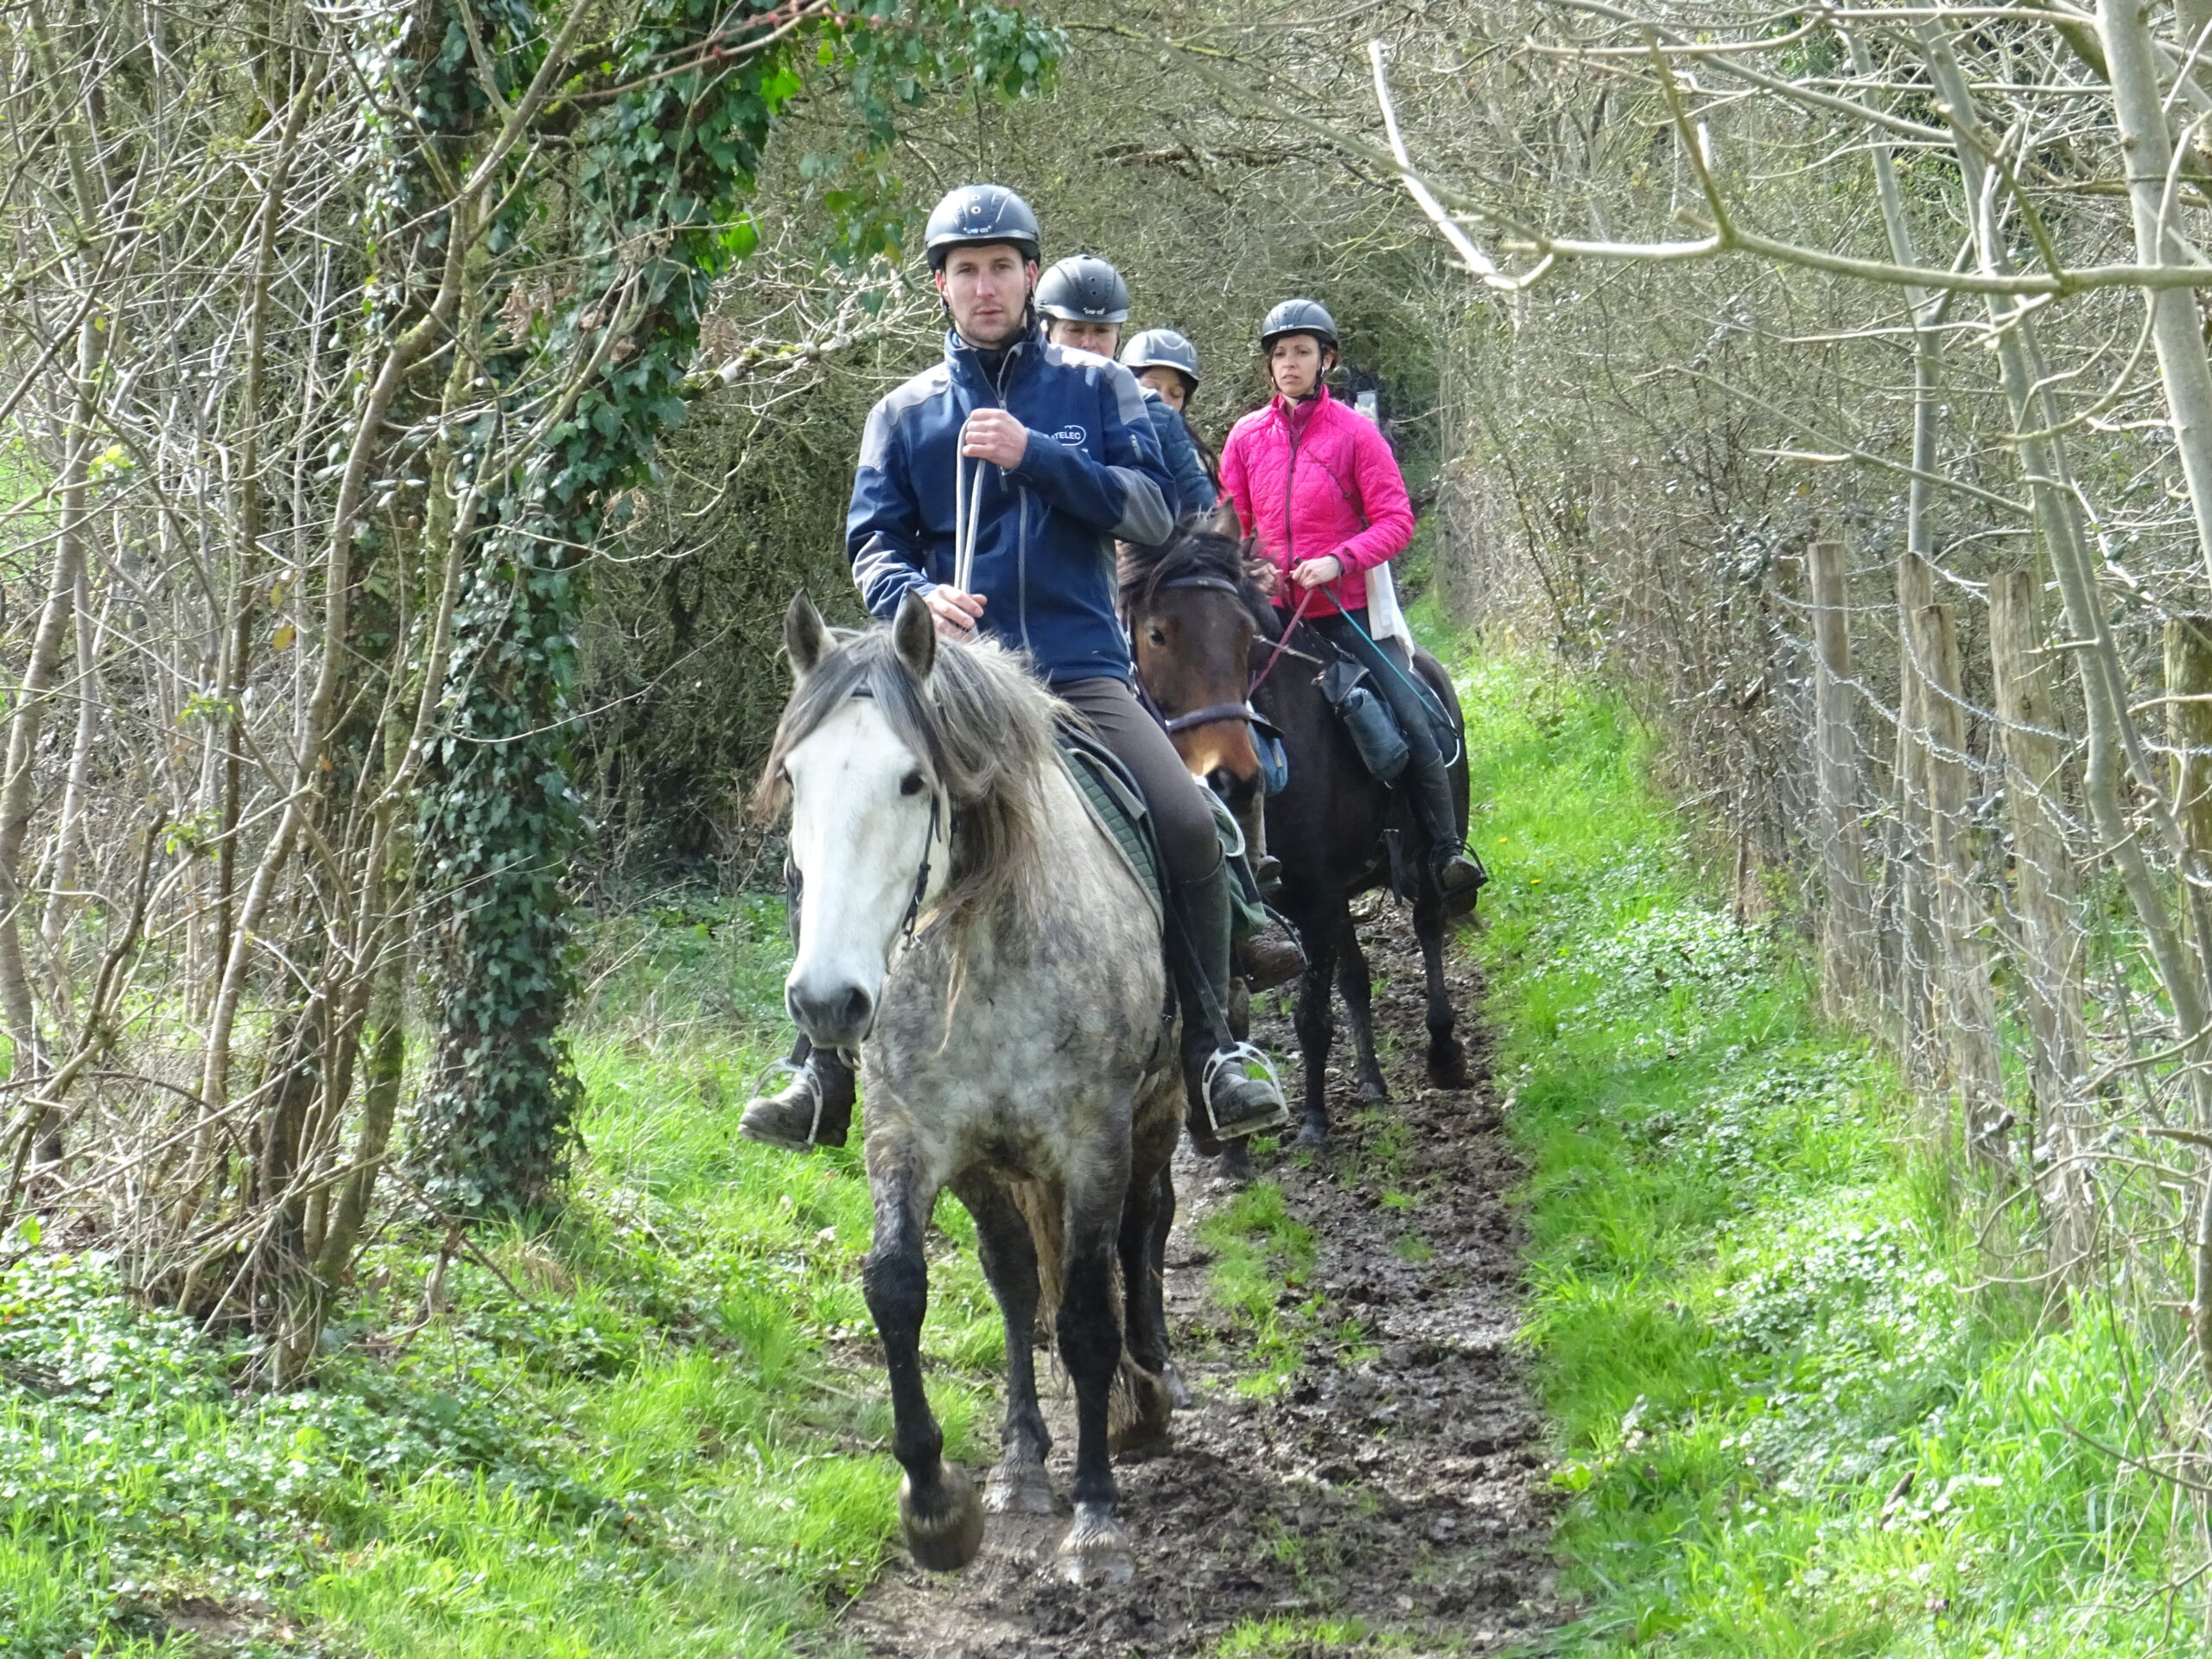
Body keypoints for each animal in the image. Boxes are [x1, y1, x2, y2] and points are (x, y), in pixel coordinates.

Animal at [758, 590, 1184, 1586]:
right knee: (1016, 1280)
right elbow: (898, 1290)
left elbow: (1088, 1318)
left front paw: (1096, 1519)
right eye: (795, 777)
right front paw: (934, 1502)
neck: (976, 954)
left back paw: (1151, 1389)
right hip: (996, 1169)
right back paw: (1024, 1465)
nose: (828, 1001)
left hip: (1158, 1115)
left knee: (1146, 1231)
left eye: (913, 781)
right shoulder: (910, 1136)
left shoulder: (1095, 1140)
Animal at [1120, 524, 1473, 1154]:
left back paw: (1442, 1051)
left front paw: (1312, 1120)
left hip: (1422, 857)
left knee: (1429, 924)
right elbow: (1229, 1005)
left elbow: (1310, 1016)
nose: (1228, 779)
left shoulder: (1319, 895)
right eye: (1156, 633)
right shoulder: (1274, 903)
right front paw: (1230, 1135)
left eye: (1246, 636)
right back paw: (1372, 1081)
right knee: (1358, 977)